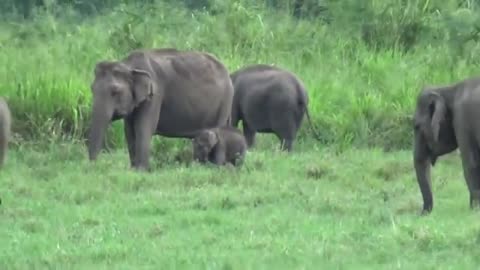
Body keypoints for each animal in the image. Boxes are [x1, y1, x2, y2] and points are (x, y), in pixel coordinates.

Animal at [88, 47, 236, 170]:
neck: (129, 66)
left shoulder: (155, 96)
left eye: (115, 92)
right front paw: (133, 169)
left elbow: (143, 128)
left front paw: (141, 170)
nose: (93, 167)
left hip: (224, 102)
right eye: (92, 89)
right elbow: (129, 131)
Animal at [410, 77, 480, 214]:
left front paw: (473, 210)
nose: (420, 214)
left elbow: (471, 164)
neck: (448, 89)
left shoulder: (462, 120)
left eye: (417, 126)